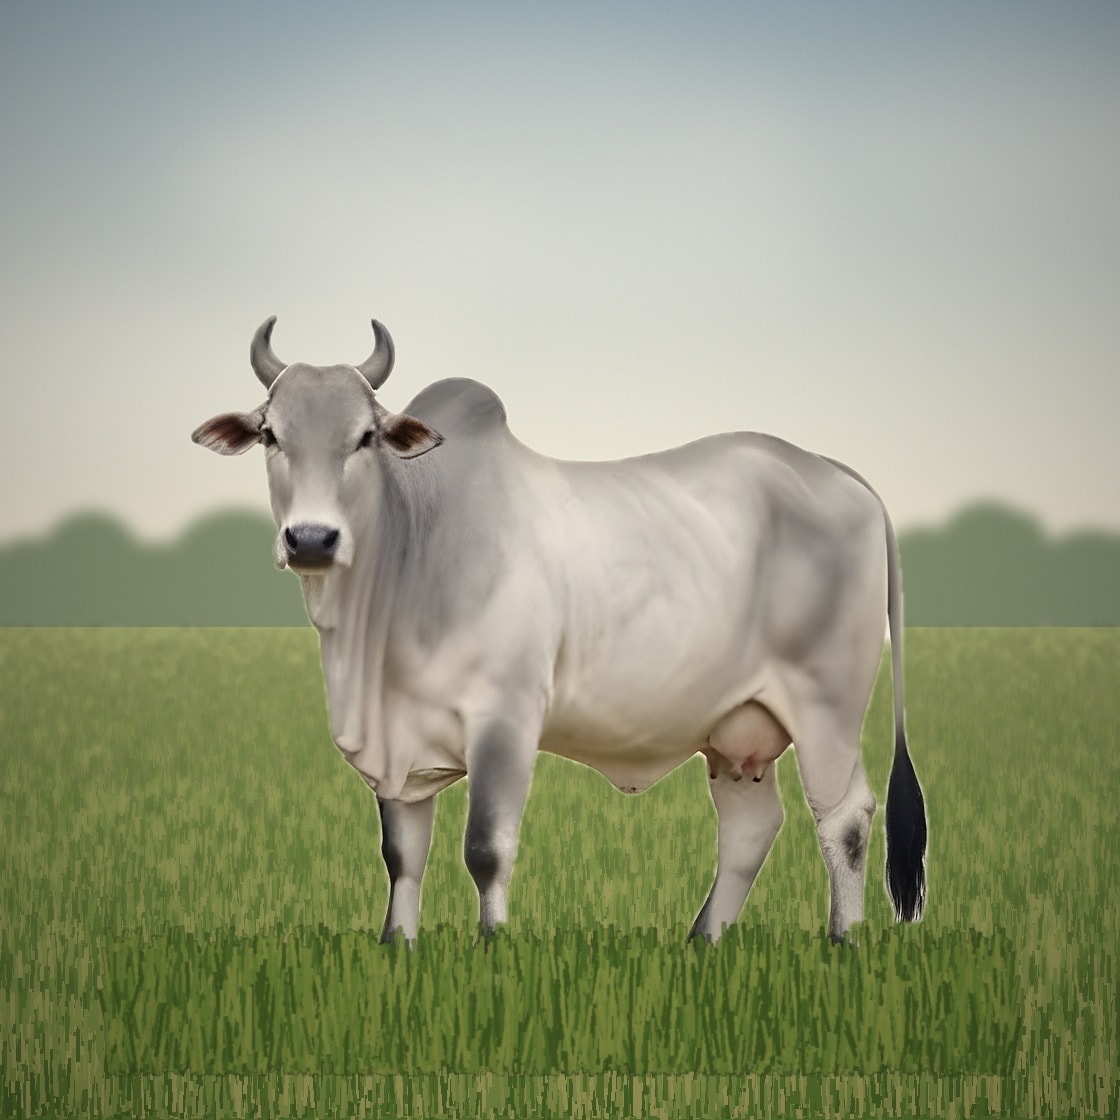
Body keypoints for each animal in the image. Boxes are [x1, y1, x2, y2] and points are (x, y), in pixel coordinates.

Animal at [192, 317, 927, 945]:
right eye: (270, 434)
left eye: (365, 437)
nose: (312, 539)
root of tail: (842, 475)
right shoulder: (401, 754)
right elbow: (402, 856)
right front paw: (397, 945)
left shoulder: (506, 718)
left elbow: (487, 848)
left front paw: (492, 944)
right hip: (737, 728)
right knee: (751, 829)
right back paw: (702, 941)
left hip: (826, 708)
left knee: (845, 818)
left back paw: (842, 939)